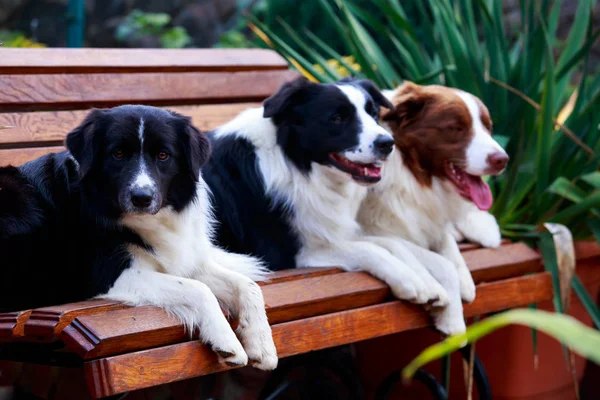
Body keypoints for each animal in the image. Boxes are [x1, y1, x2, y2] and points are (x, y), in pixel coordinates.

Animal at [0, 105, 276, 368]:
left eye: (163, 155)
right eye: (118, 154)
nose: (141, 197)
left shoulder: (181, 260)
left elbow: (247, 285)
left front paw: (262, 344)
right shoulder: (110, 275)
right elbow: (199, 289)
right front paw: (226, 340)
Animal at [205, 78, 464, 334]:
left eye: (373, 113)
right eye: (337, 118)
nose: (387, 143)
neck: (296, 162)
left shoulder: (329, 231)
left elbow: (392, 244)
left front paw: (427, 284)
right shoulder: (285, 253)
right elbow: (371, 249)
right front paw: (411, 281)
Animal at [358, 83, 508, 304]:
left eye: (488, 128)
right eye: (456, 128)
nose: (502, 160)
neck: (409, 172)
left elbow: (446, 241)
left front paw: (463, 277)